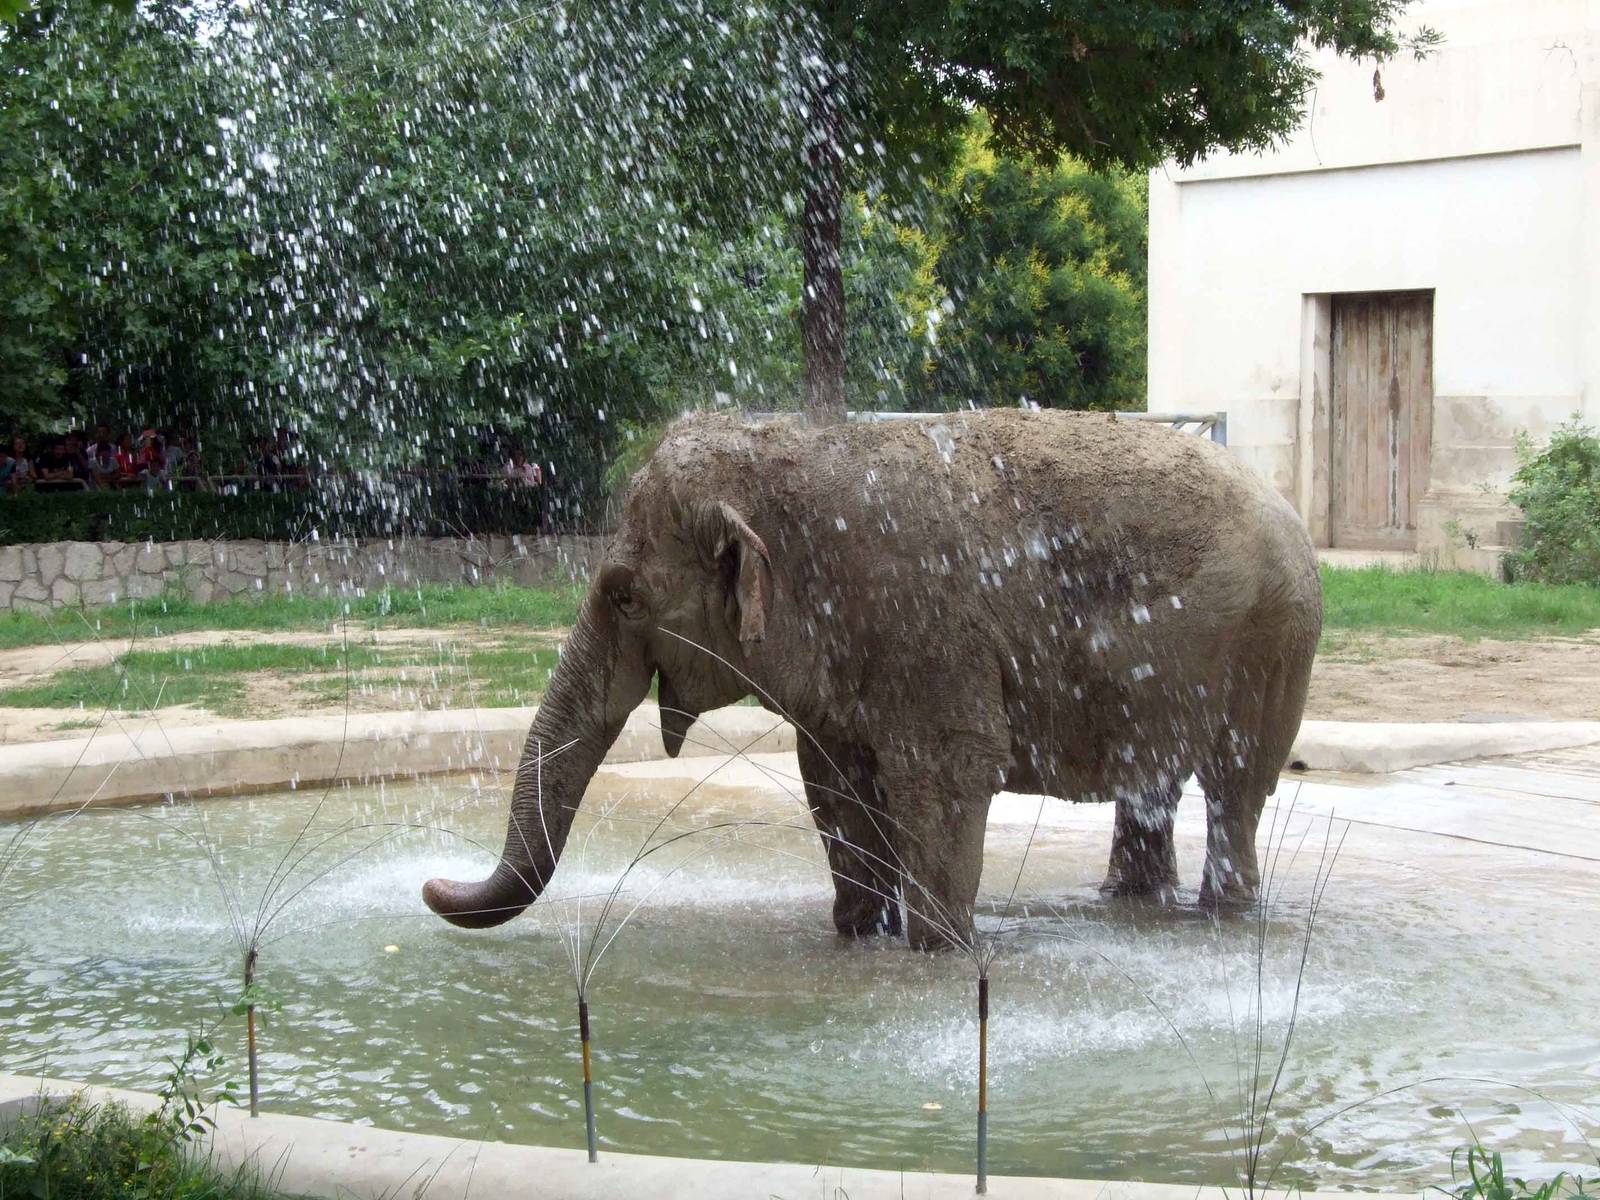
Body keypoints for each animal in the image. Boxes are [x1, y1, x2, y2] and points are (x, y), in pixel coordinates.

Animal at [423, 409, 1323, 950]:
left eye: (622, 595)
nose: (431, 882)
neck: (791, 457)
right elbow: (837, 785)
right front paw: (858, 935)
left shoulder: (931, 632)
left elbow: (946, 774)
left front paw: (936, 950)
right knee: (1153, 787)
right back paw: (1129, 907)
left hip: (1272, 647)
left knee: (1235, 792)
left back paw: (1221, 914)